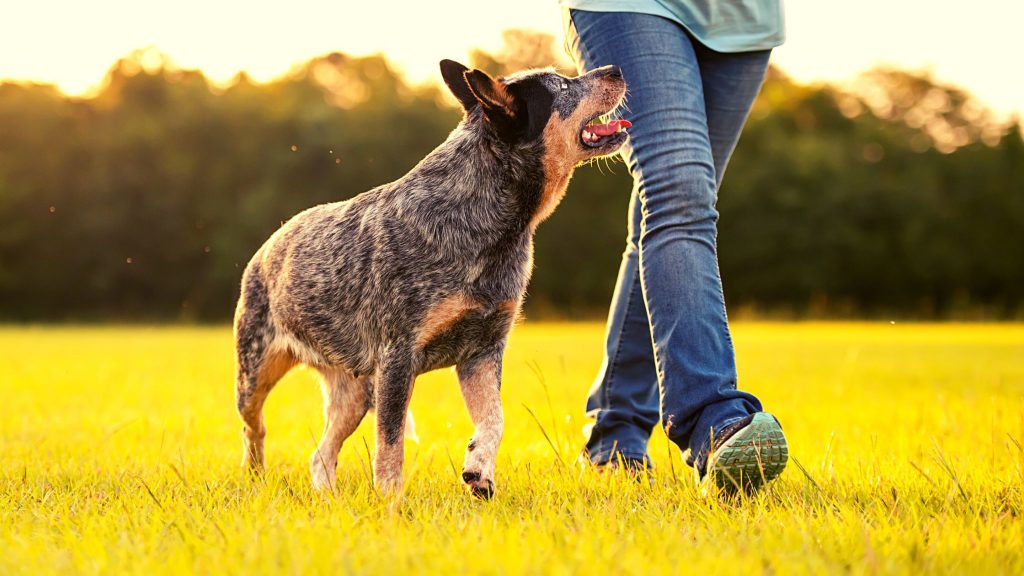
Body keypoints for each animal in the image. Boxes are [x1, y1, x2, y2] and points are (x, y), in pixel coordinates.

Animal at [234, 59, 626, 498]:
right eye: (561, 85)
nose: (615, 68)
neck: (486, 221)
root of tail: (269, 243)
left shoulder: (482, 350)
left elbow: (495, 419)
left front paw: (479, 470)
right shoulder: (397, 356)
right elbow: (390, 445)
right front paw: (390, 504)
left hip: (355, 391)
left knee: (320, 454)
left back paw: (327, 499)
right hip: (254, 371)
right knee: (255, 429)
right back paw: (256, 477)